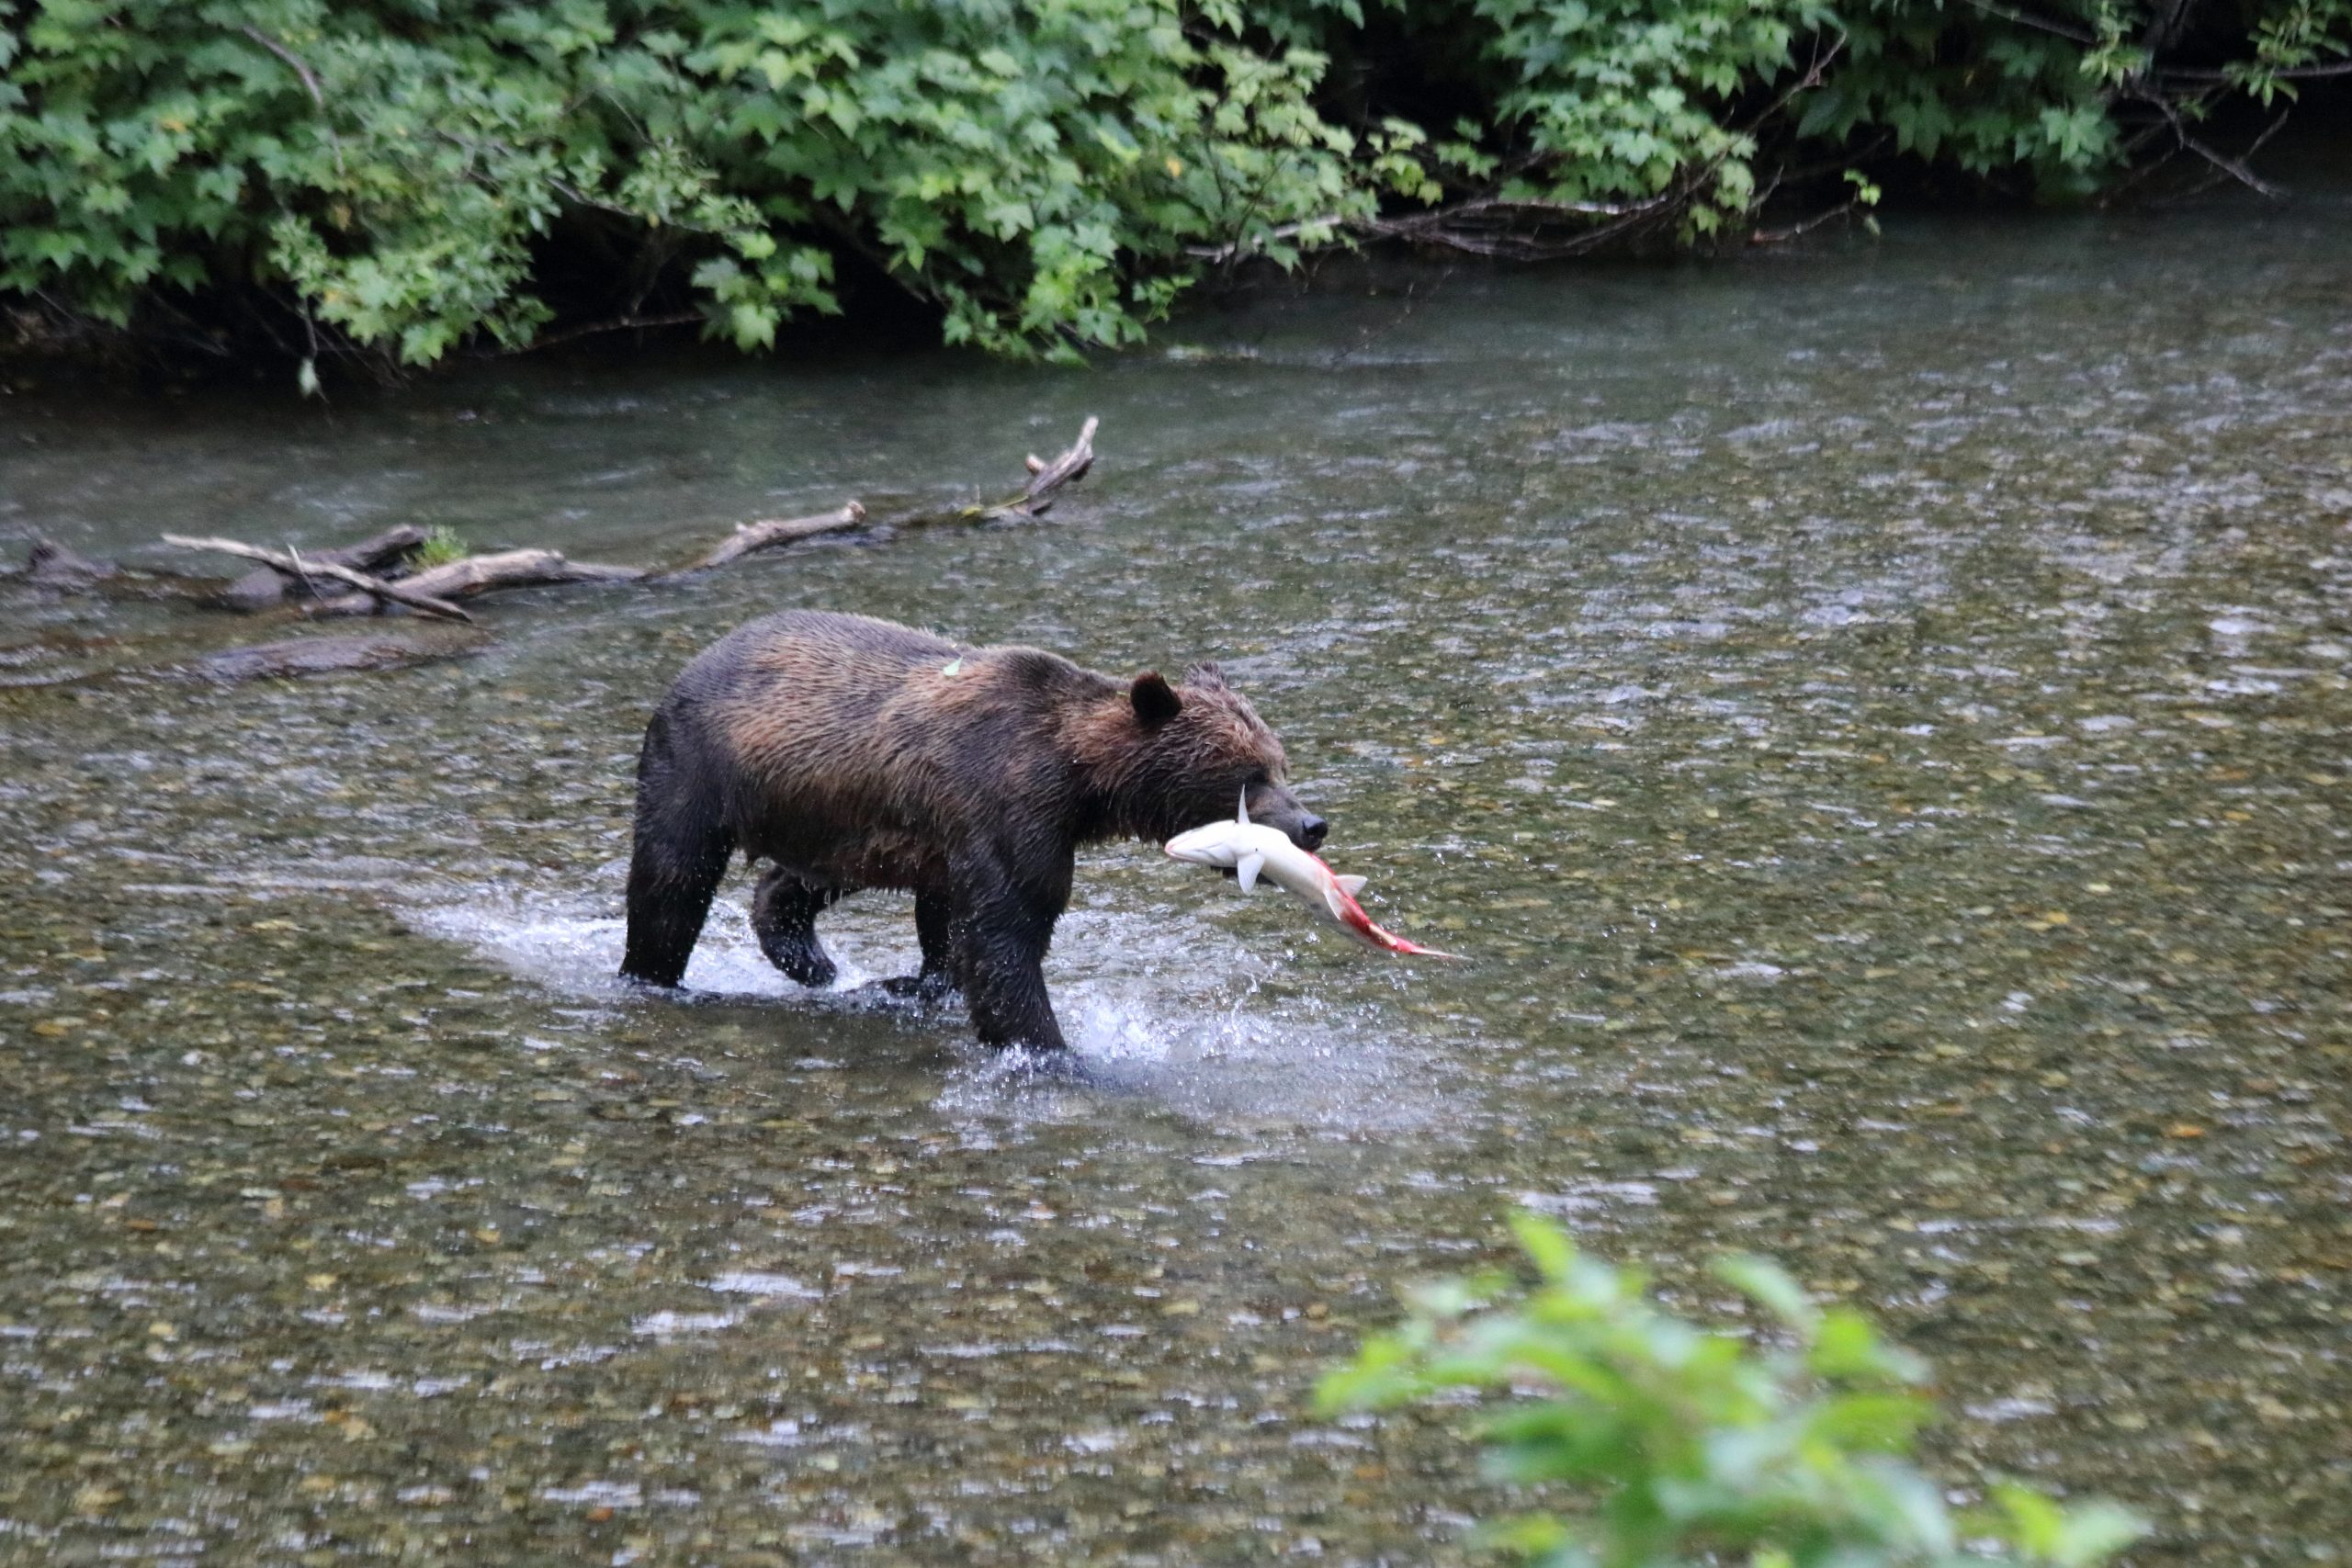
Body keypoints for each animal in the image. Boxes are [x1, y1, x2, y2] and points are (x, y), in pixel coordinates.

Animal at [620, 611, 1326, 1053]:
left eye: (1280, 763)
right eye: (1248, 775)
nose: (1310, 824)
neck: (1081, 783)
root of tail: (695, 662)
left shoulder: (962, 833)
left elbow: (954, 930)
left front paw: (913, 984)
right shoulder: (1012, 810)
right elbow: (1006, 937)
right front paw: (1052, 1049)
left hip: (835, 815)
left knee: (805, 877)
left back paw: (809, 957)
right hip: (698, 768)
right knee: (671, 878)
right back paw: (653, 973)